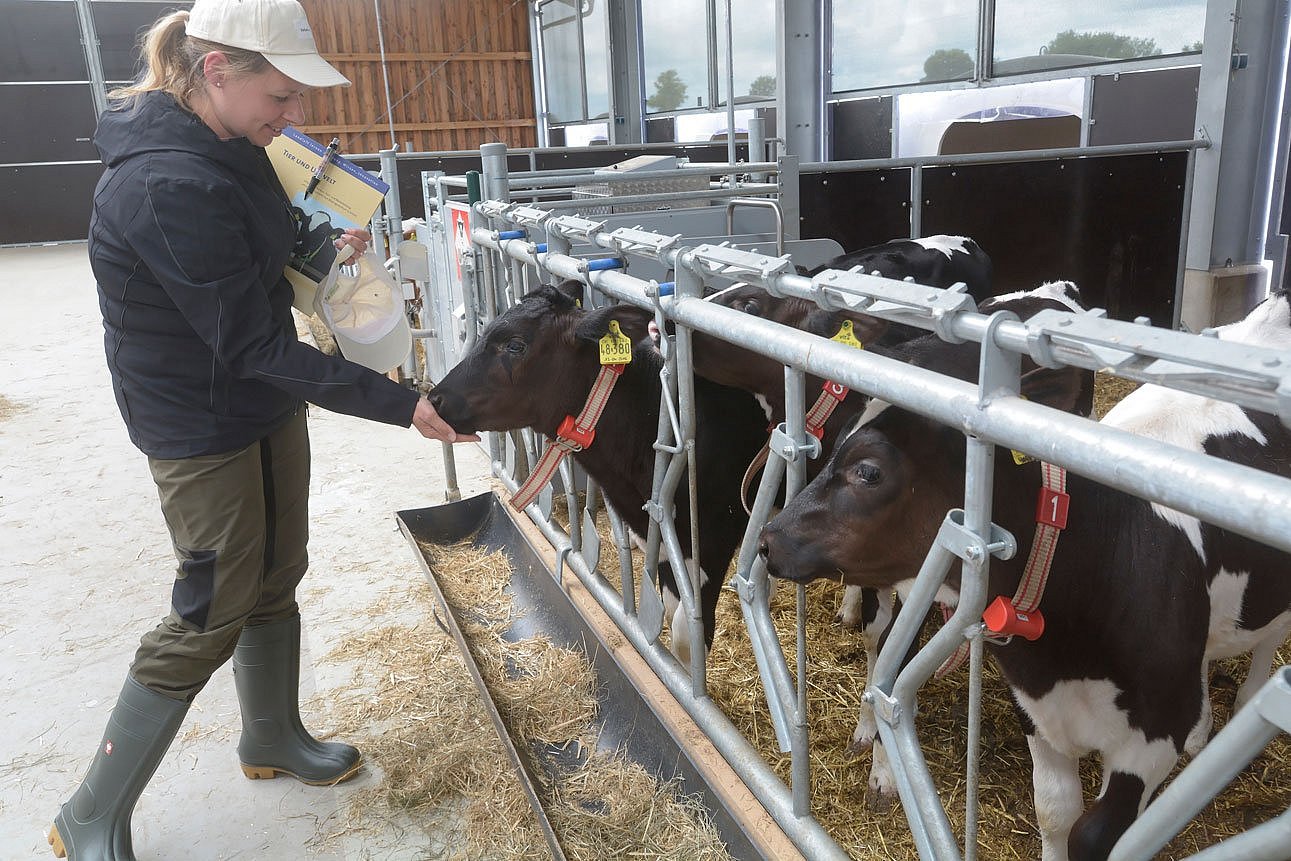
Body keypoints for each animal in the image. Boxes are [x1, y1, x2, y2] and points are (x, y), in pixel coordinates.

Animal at [428, 282, 769, 666]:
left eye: (515, 345)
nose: (434, 399)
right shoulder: (666, 544)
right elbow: (671, 617)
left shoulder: (713, 537)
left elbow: (686, 634)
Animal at [753, 291, 1291, 861]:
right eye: (841, 434)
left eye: (869, 471)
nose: (767, 539)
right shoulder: (1036, 710)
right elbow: (1054, 812)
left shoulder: (1149, 740)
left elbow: (1094, 836)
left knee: (1266, 644)